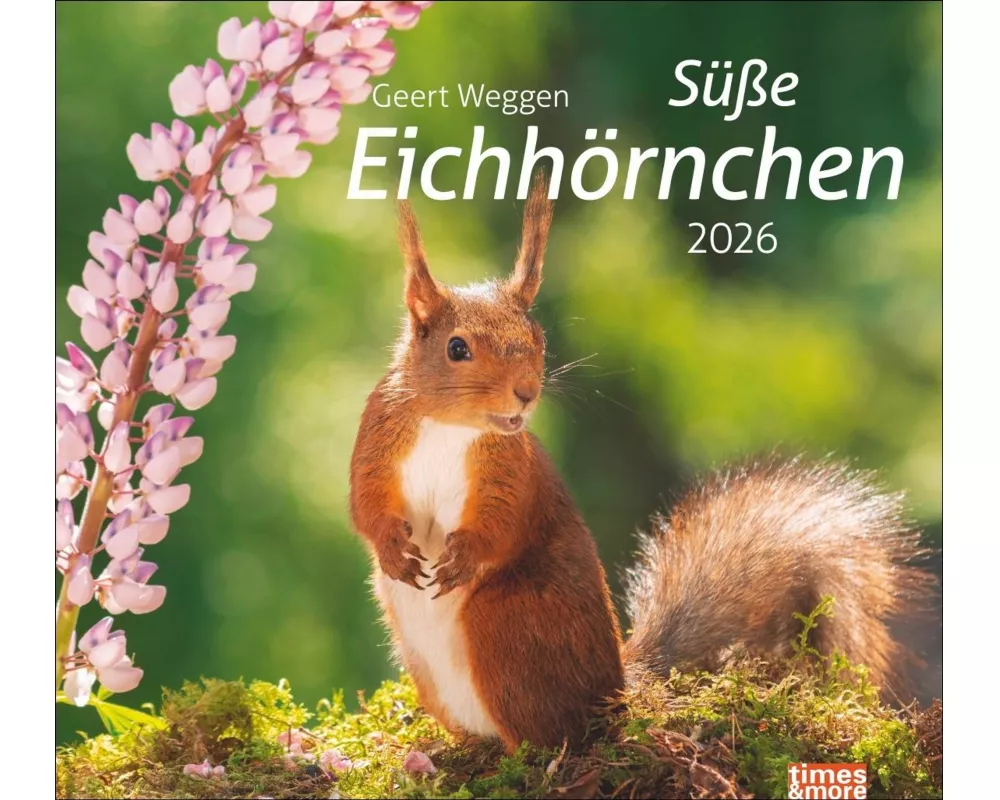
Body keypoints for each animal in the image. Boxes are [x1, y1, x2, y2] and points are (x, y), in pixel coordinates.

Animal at [348, 172, 935, 754]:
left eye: (537, 337)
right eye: (457, 348)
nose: (527, 393)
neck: (453, 431)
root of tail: (617, 695)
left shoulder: (510, 472)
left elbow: (501, 522)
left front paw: (464, 556)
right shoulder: (377, 443)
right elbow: (365, 505)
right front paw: (392, 550)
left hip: (505, 620)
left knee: (551, 733)